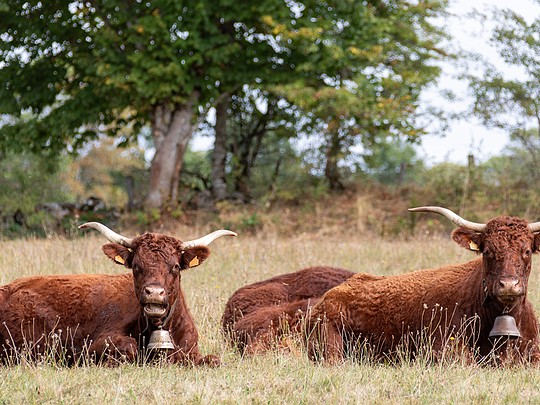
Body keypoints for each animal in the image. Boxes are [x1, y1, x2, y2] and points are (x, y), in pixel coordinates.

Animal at [0, 222, 236, 366]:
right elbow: (128, 347)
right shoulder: (94, 343)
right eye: (137, 266)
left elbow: (214, 360)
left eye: (176, 266)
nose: (154, 293)